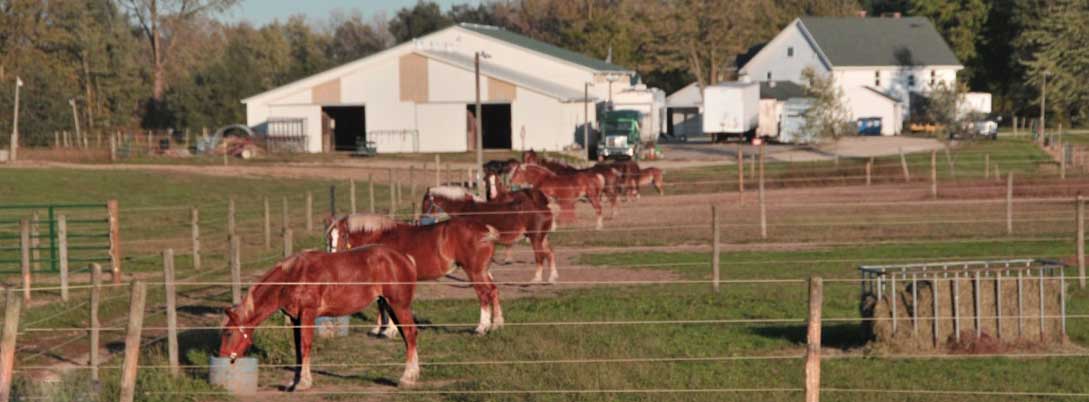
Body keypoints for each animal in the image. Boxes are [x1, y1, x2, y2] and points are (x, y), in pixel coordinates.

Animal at [218, 246, 418, 390]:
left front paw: (303, 382)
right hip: (390, 306)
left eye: (228, 333)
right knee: (408, 336)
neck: (293, 277)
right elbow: (298, 349)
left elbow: (305, 346)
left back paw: (406, 379)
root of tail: (405, 258)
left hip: (398, 306)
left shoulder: (308, 314)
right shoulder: (296, 319)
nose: (222, 358)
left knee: (410, 334)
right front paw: (294, 381)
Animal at [326, 214, 500, 333]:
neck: (381, 237)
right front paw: (378, 329)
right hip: (483, 271)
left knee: (484, 293)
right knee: (493, 290)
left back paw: (481, 328)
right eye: (329, 237)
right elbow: (380, 303)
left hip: (474, 271)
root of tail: (485, 229)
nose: (333, 256)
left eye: (343, 235)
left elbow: (385, 303)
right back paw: (497, 324)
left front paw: (389, 330)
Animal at [422, 187, 561, 281]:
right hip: (542, 237)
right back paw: (552, 277)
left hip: (535, 237)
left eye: (426, 203)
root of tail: (546, 207)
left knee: (540, 256)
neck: (465, 210)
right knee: (550, 253)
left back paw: (536, 279)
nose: (421, 221)